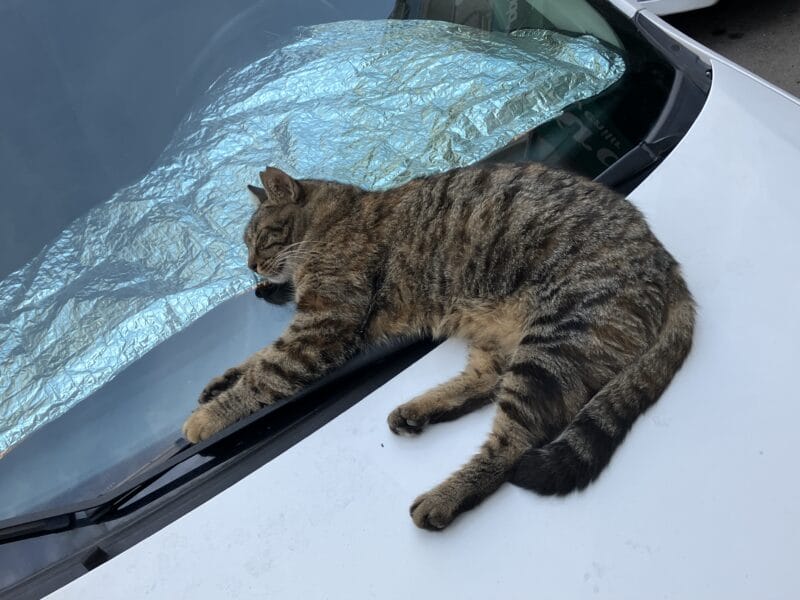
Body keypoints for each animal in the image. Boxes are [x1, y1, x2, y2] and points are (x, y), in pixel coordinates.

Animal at [182, 163, 695, 530]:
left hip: (554, 344)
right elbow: (255, 359)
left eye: (260, 238)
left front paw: (207, 418)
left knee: (513, 441)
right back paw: (419, 410)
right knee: (488, 381)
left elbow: (266, 371)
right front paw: (219, 383)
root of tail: (668, 263)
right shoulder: (311, 326)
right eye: (246, 244)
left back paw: (444, 496)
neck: (331, 219)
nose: (250, 267)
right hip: (503, 335)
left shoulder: (323, 326)